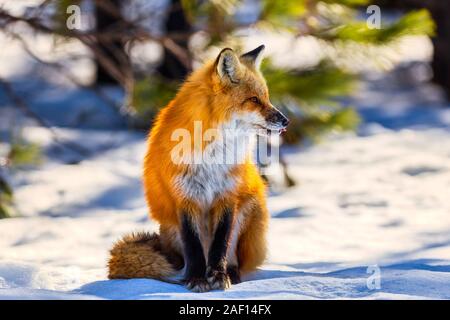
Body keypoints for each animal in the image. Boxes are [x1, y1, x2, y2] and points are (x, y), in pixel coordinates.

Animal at [109, 45, 292, 292]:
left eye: (266, 97)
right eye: (254, 99)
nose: (285, 121)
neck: (212, 155)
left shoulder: (227, 196)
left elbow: (220, 245)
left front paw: (218, 276)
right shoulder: (185, 198)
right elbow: (194, 247)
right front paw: (196, 280)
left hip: (249, 207)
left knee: (232, 256)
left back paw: (230, 274)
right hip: (170, 227)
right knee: (187, 257)